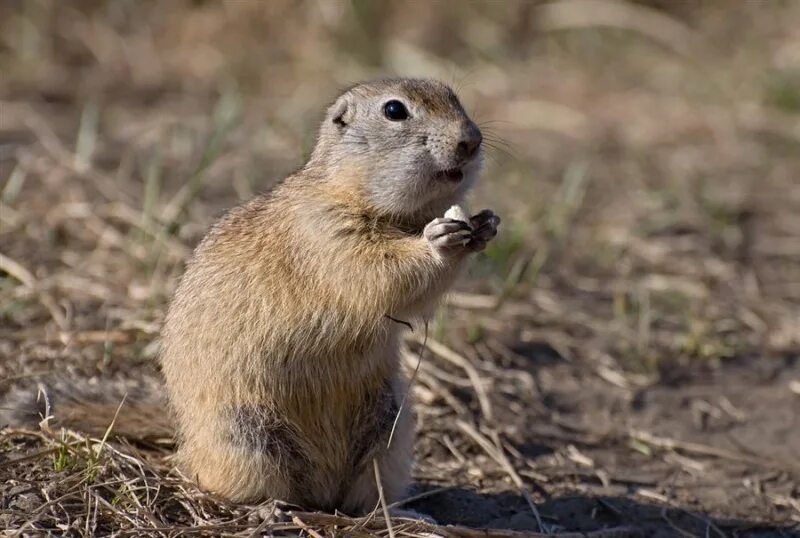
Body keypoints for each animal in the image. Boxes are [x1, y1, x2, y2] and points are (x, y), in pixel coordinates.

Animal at [1, 78, 500, 510]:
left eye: (453, 95)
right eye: (395, 110)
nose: (471, 140)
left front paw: (486, 224)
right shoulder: (324, 233)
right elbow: (379, 274)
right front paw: (440, 240)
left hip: (390, 435)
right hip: (247, 438)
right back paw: (271, 509)